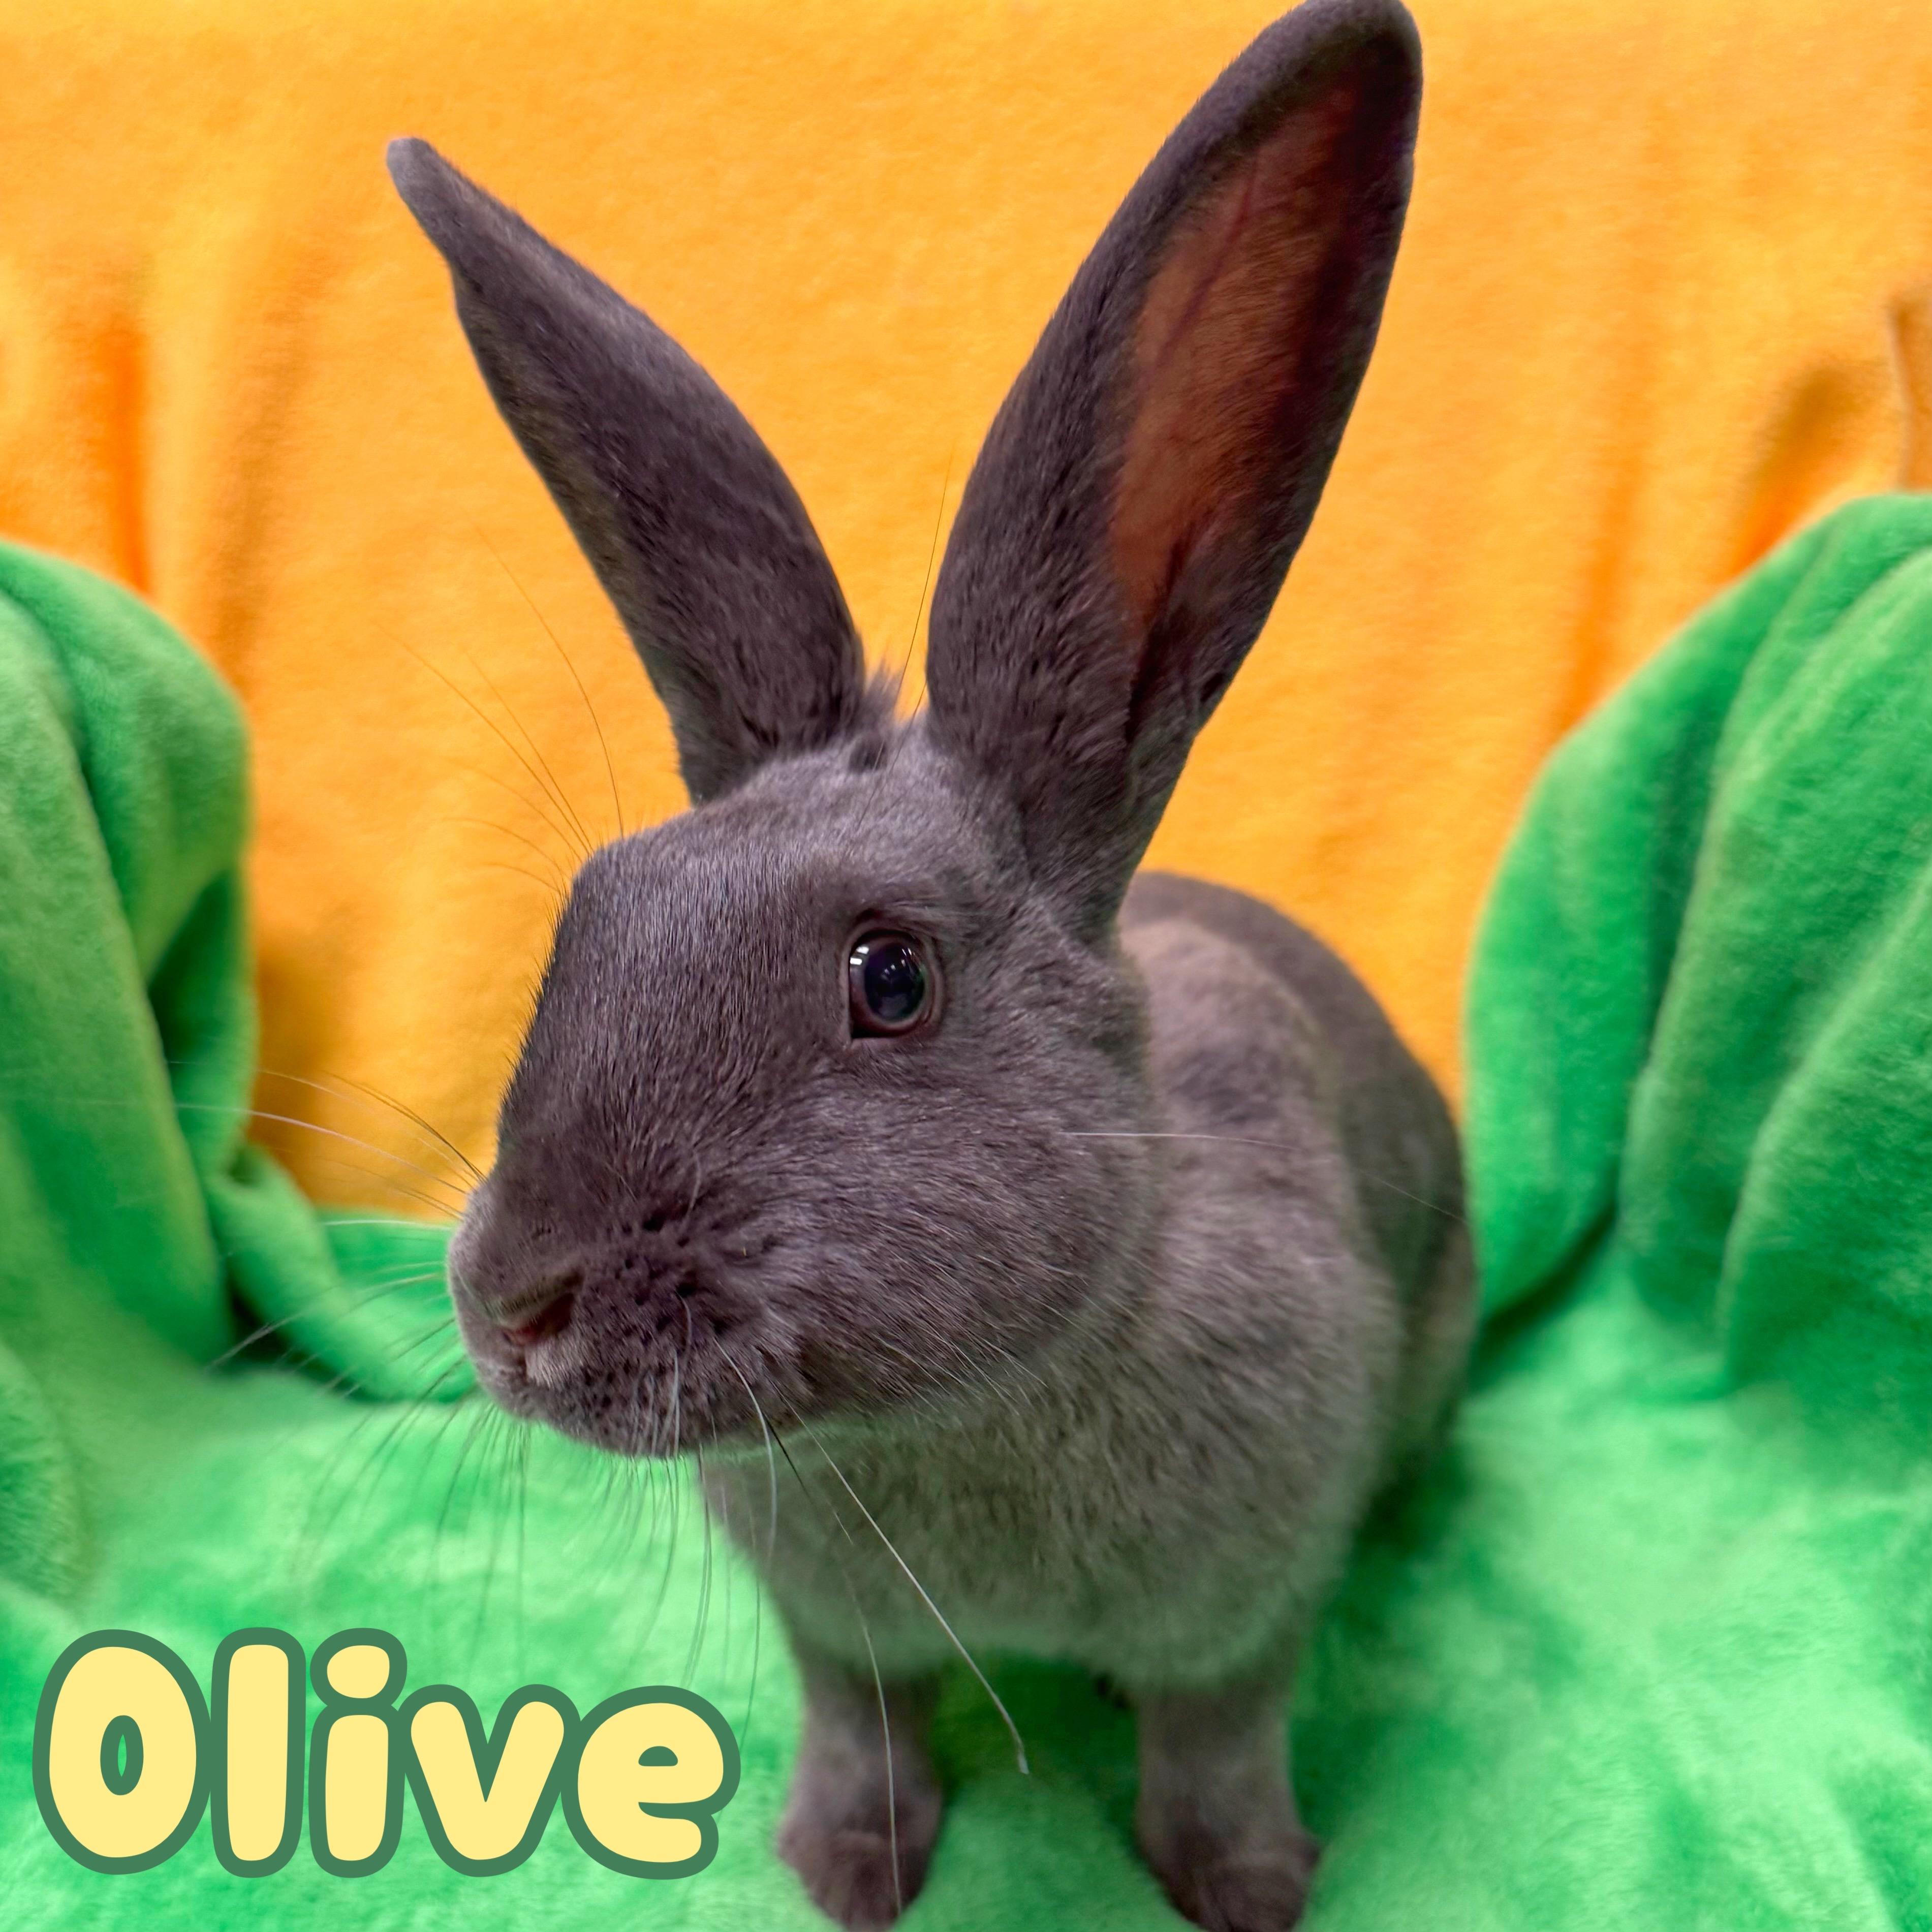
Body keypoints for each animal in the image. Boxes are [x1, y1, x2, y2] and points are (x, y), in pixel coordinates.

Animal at [391, 1, 1473, 1926]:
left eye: (888, 981)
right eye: (592, 909)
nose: (511, 1306)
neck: (976, 1405)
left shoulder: (1242, 1621)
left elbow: (1216, 1746)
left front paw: (1245, 1891)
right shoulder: (834, 1633)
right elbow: (864, 1725)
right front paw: (840, 1869)